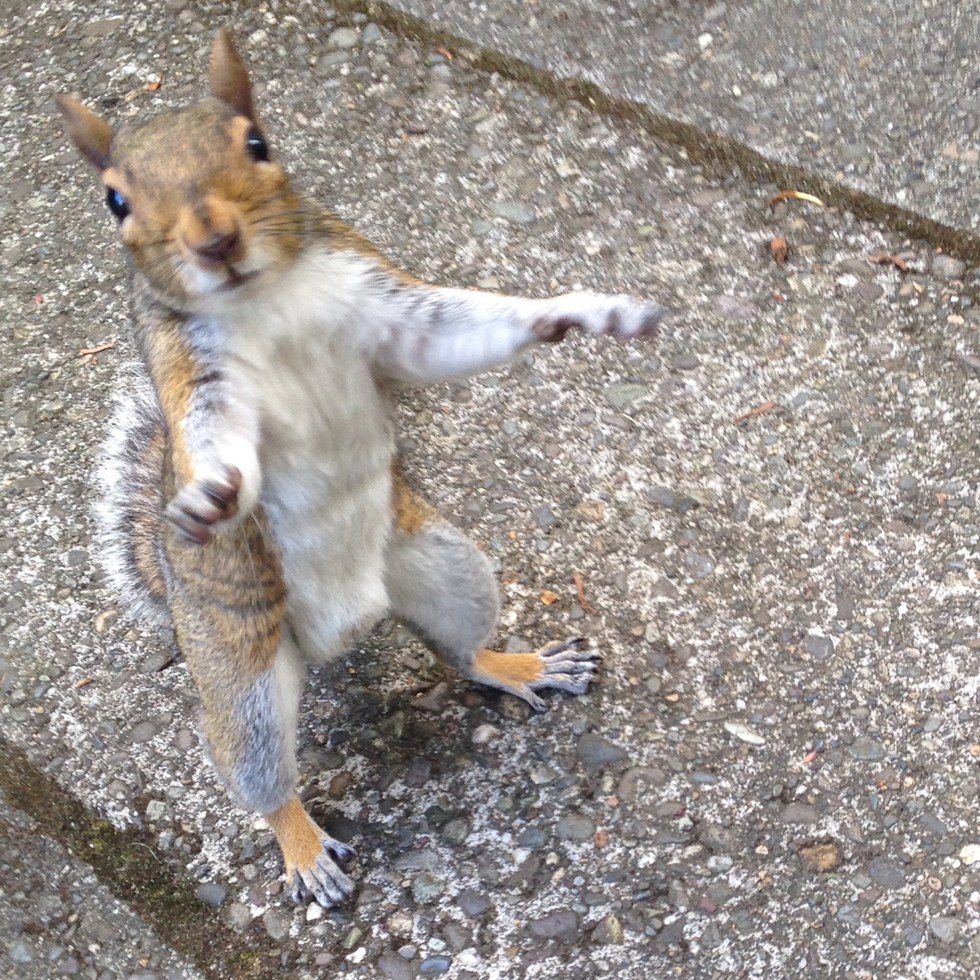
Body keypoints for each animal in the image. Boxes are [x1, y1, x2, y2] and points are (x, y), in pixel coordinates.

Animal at [57, 30, 668, 907]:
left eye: (257, 144)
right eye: (114, 201)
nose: (214, 240)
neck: (264, 298)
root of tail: (336, 637)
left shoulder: (384, 302)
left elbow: (453, 334)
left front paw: (581, 310)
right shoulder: (197, 377)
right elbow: (219, 441)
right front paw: (207, 495)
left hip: (443, 564)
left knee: (459, 652)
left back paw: (521, 664)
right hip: (242, 678)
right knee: (262, 778)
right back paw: (304, 847)